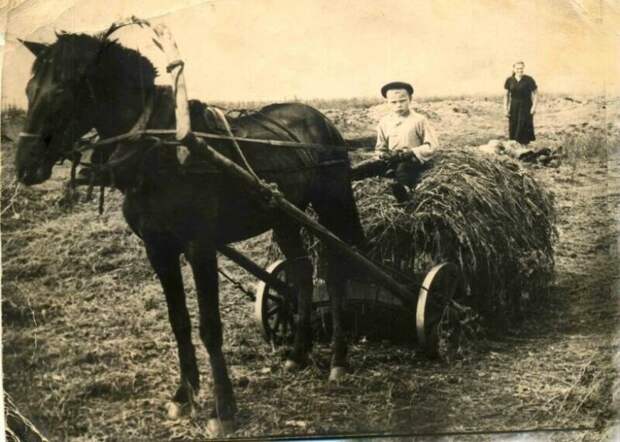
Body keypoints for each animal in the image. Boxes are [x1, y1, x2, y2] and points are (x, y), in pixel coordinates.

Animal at [14, 31, 366, 436]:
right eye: (28, 90)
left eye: (60, 90)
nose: (24, 166)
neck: (160, 149)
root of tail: (320, 120)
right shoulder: (158, 249)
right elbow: (179, 321)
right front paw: (183, 397)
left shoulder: (201, 247)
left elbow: (209, 326)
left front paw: (223, 409)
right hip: (284, 215)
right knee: (302, 271)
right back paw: (297, 353)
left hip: (332, 205)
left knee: (337, 271)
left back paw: (338, 360)